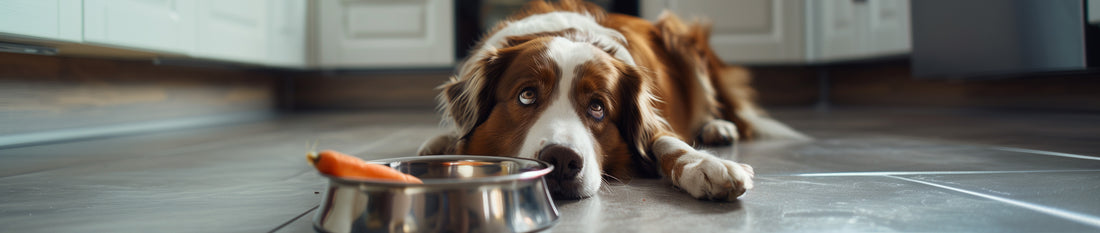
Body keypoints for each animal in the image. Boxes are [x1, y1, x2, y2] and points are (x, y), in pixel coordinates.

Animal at [415, 0, 805, 200]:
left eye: (598, 107)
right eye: (526, 95)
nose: (561, 160)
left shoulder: (652, 121)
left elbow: (666, 141)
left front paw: (703, 165)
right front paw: (441, 144)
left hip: (682, 37)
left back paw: (717, 127)